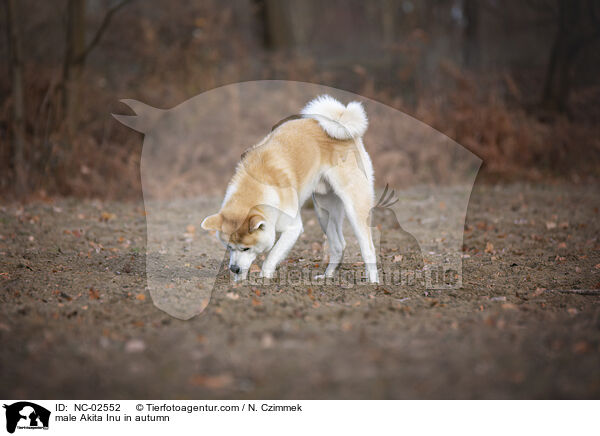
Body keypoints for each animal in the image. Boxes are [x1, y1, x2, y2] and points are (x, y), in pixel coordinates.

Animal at [202, 95, 380, 282]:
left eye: (246, 248)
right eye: (229, 247)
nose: (233, 268)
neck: (258, 184)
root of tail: (341, 126)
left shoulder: (293, 229)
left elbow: (272, 256)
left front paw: (264, 278)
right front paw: (238, 283)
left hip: (354, 209)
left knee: (368, 248)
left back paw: (373, 282)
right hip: (323, 210)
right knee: (339, 245)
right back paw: (327, 276)